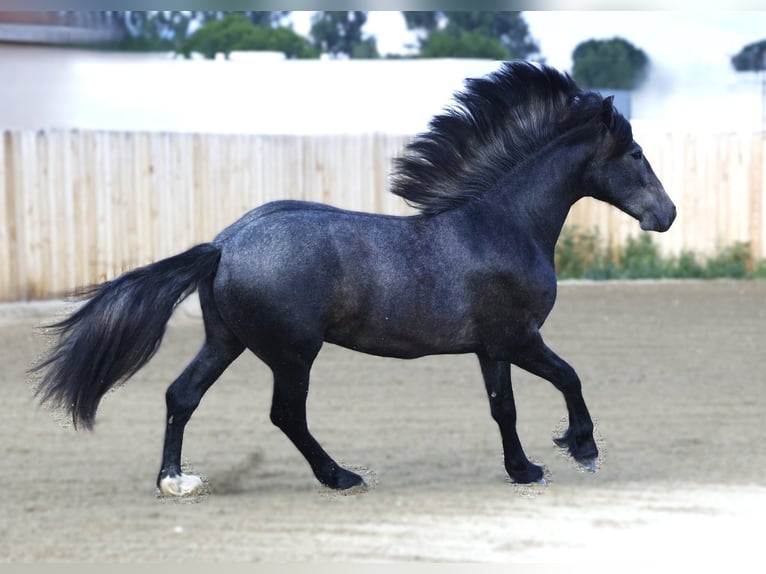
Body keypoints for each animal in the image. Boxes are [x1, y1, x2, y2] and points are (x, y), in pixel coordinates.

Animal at [33, 61, 676, 496]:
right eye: (636, 153)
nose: (666, 215)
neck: (504, 224)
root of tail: (222, 245)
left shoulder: (491, 347)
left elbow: (505, 409)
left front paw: (523, 469)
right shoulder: (519, 338)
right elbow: (569, 377)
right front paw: (582, 448)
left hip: (227, 341)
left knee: (181, 395)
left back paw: (174, 480)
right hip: (292, 353)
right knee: (285, 415)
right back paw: (340, 476)